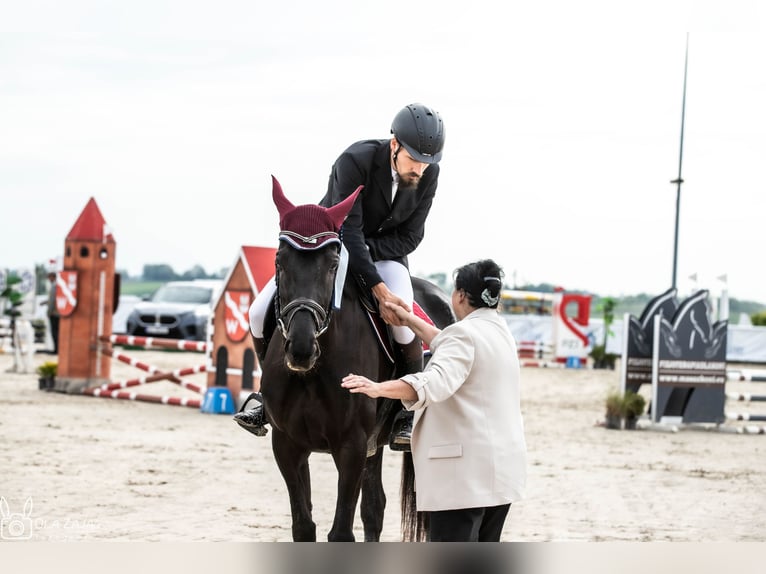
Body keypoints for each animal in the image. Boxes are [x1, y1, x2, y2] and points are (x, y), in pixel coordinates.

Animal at [260, 178, 450, 544]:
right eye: (279, 261)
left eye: (334, 264)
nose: (301, 349)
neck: (313, 373)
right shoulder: (287, 445)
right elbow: (304, 526)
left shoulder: (351, 446)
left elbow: (341, 532)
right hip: (373, 446)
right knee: (375, 507)